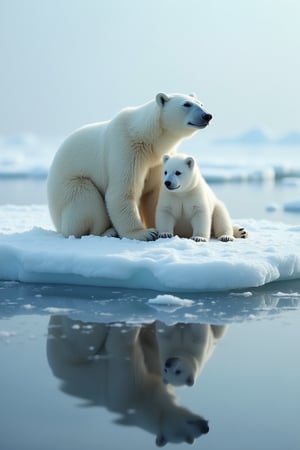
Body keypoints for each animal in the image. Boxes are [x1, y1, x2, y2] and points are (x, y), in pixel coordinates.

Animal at [47, 90, 211, 239]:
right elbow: (122, 192)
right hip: (71, 186)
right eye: (186, 104)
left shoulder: (157, 161)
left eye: (201, 104)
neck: (148, 139)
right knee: (85, 200)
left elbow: (153, 193)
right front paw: (144, 233)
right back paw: (107, 231)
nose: (207, 115)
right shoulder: (127, 149)